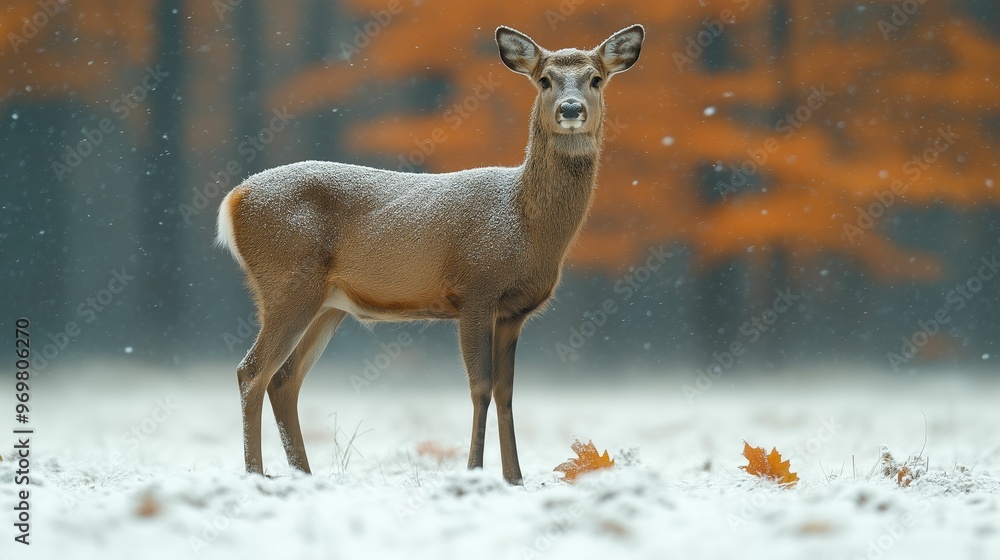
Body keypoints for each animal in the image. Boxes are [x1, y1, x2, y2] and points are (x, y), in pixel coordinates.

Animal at [217, 24, 644, 485]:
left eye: (596, 79)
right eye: (544, 79)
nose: (570, 108)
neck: (525, 225)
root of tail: (234, 199)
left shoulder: (513, 312)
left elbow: (507, 392)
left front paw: (514, 478)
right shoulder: (476, 289)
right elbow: (480, 387)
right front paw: (475, 471)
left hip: (326, 304)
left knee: (285, 378)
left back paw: (304, 475)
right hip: (287, 283)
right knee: (252, 371)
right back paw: (256, 474)